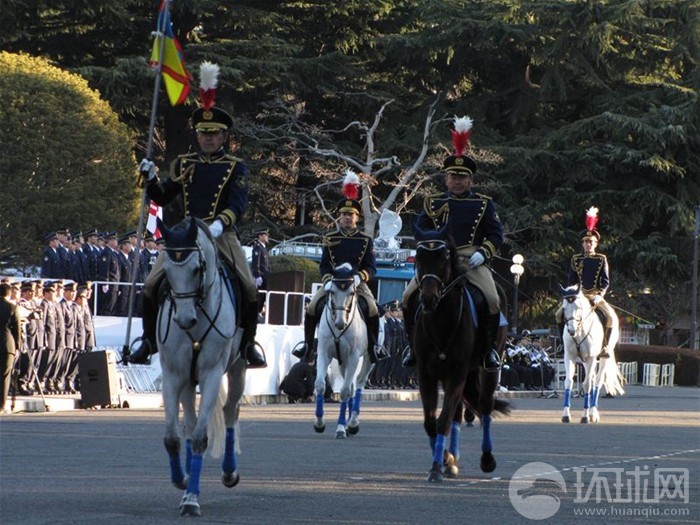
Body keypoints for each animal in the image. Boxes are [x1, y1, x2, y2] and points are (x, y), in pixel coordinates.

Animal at [158, 217, 246, 516]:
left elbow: (199, 439)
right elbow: (173, 437)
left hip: (237, 369)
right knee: (188, 422)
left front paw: (192, 499)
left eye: (197, 269)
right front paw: (182, 482)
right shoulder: (173, 375)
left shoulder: (211, 374)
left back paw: (229, 473)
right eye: (166, 271)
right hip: (187, 380)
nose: (184, 320)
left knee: (230, 411)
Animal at [314, 262, 374, 438]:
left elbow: (345, 392)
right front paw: (319, 423)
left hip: (367, 360)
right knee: (353, 387)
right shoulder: (324, 354)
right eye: (332, 292)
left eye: (351, 292)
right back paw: (349, 424)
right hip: (343, 362)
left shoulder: (354, 357)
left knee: (359, 384)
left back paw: (352, 423)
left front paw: (341, 427)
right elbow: (320, 385)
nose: (340, 324)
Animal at [404, 232, 508, 478]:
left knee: (485, 406)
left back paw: (487, 459)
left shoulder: (456, 373)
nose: (428, 299)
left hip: (487, 370)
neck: (441, 322)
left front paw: (436, 467)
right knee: (459, 414)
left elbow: (442, 420)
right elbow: (431, 422)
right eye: (419, 258)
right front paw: (443, 459)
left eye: (443, 258)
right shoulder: (426, 374)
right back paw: (452, 459)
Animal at [560, 284, 628, 424]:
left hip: (602, 358)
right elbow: (569, 382)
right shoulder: (569, 357)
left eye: (578, 307)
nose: (571, 330)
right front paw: (566, 415)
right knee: (591, 379)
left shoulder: (591, 358)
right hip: (585, 361)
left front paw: (585, 416)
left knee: (597, 381)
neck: (580, 331)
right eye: (564, 308)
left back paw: (593, 413)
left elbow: (586, 385)